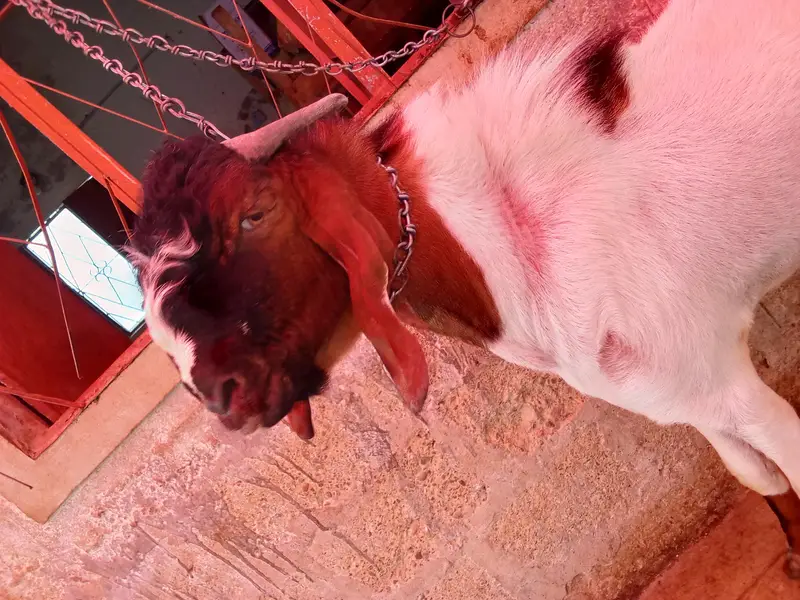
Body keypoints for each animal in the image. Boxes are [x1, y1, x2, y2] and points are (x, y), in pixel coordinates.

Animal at [129, 0, 800, 575]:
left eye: (254, 214)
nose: (215, 394)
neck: (498, 231)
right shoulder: (681, 387)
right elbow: (758, 476)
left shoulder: (713, 369)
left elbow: (788, 456)